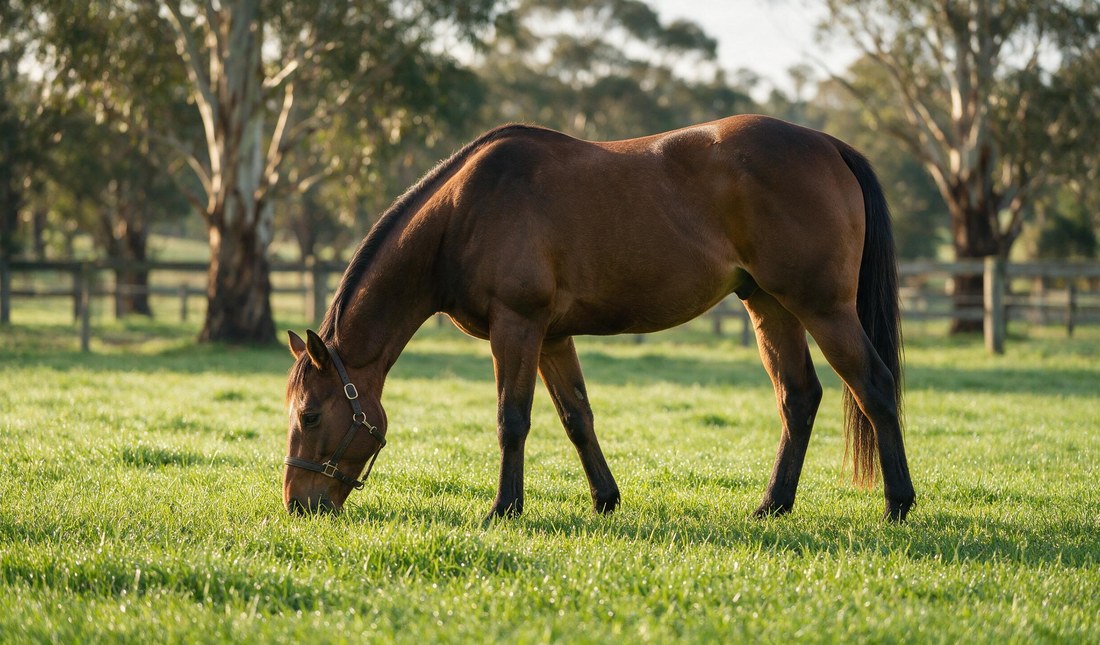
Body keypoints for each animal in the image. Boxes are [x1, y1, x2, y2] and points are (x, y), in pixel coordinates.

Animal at [283, 114, 915, 523]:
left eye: (310, 415)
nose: (297, 503)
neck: (465, 211)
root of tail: (828, 145)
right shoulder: (553, 338)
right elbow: (576, 418)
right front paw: (605, 499)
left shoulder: (517, 327)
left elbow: (512, 420)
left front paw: (504, 509)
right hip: (770, 306)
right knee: (799, 397)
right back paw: (772, 506)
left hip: (823, 307)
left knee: (874, 387)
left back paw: (897, 505)